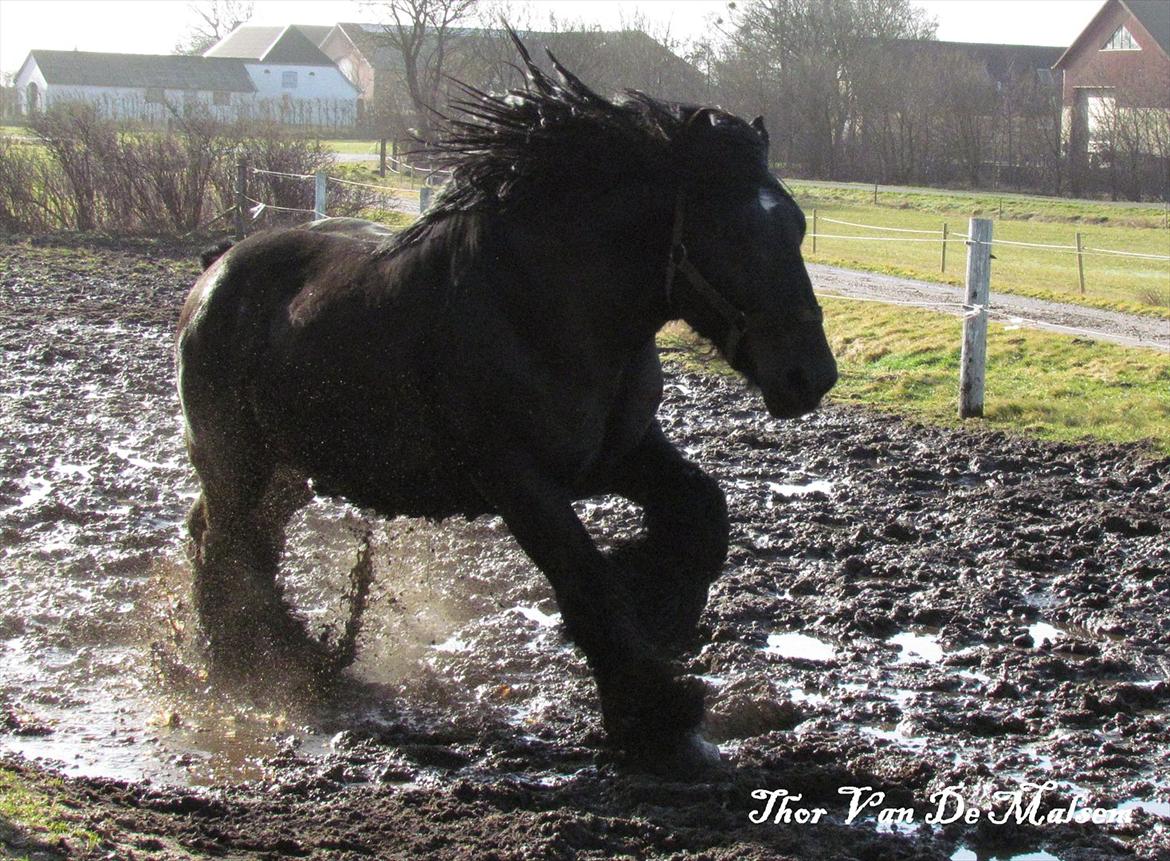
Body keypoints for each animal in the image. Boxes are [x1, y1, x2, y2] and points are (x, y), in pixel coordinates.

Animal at [173, 35, 837, 772]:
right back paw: (253, 663)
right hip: (238, 460)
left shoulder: (619, 453)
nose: (811, 375)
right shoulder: (517, 478)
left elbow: (703, 509)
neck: (546, 306)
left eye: (797, 225)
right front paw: (656, 714)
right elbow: (586, 579)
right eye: (734, 231)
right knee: (226, 546)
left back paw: (287, 651)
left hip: (292, 468)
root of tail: (218, 267)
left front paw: (659, 600)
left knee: (231, 538)